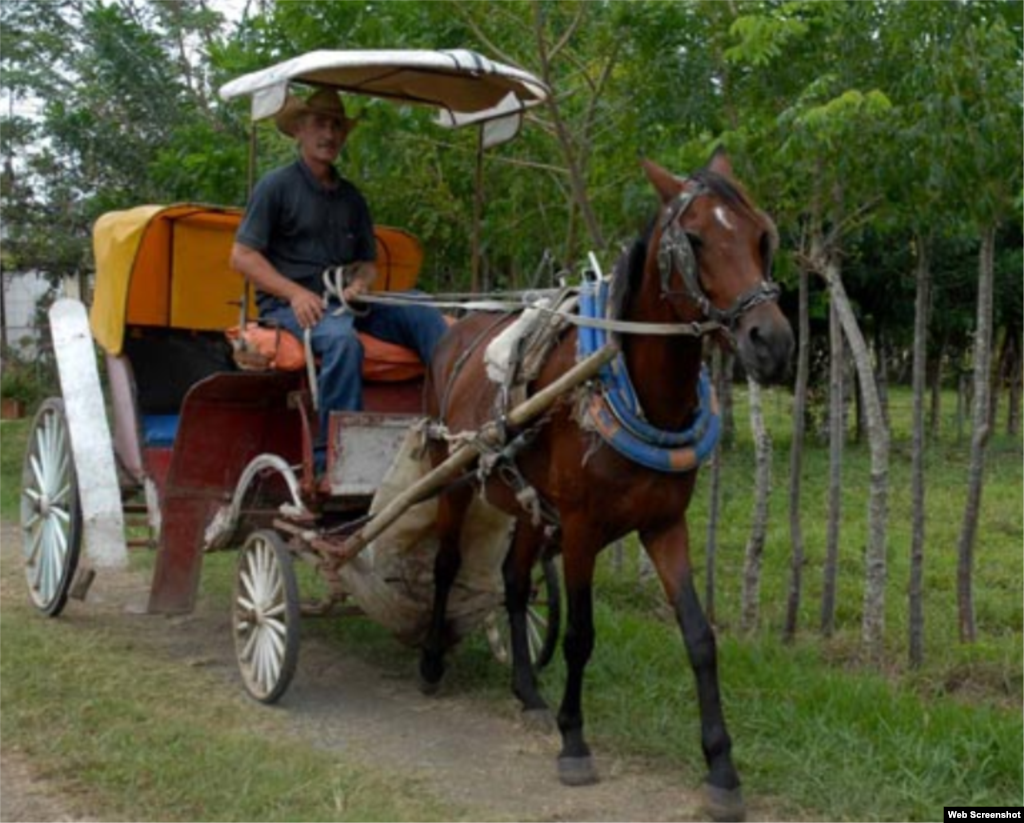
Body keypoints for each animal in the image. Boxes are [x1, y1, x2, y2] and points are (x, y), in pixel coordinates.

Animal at [415, 151, 790, 818]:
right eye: (694, 240)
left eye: (761, 236)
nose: (771, 342)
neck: (636, 389)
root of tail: (457, 329)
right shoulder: (583, 528)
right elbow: (581, 634)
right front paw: (575, 741)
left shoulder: (665, 525)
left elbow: (699, 637)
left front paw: (722, 769)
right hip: (455, 474)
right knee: (446, 564)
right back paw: (433, 662)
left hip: (529, 505)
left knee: (514, 582)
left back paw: (527, 691)